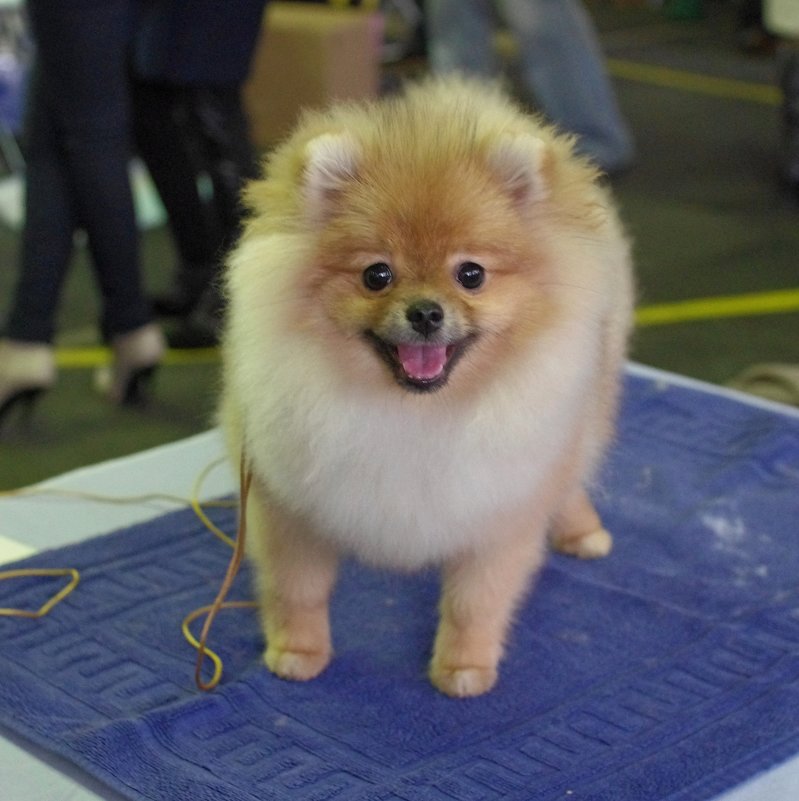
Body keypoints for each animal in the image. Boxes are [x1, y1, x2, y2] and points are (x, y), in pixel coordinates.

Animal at [219, 78, 632, 696]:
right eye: (376, 275)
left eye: (471, 274)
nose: (426, 312)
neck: (415, 411)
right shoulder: (288, 506)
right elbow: (298, 589)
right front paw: (297, 652)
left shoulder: (499, 512)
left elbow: (473, 602)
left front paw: (463, 668)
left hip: (586, 406)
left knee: (575, 468)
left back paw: (582, 530)